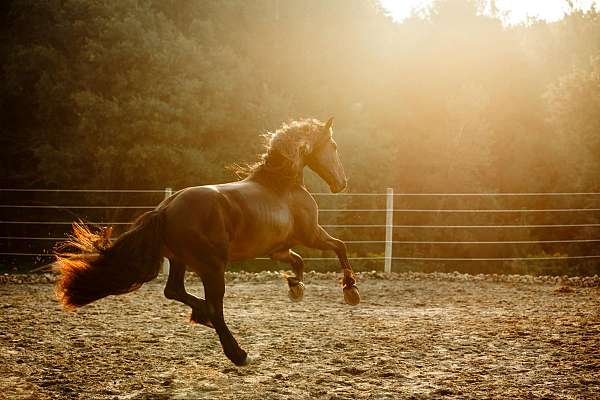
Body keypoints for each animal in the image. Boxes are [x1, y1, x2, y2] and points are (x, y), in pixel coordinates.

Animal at [54, 116, 358, 366]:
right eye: (333, 146)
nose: (342, 183)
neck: (281, 187)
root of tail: (166, 208)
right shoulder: (311, 233)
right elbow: (339, 246)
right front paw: (350, 290)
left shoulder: (278, 250)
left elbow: (299, 261)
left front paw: (296, 287)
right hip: (212, 267)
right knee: (214, 305)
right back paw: (237, 353)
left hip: (180, 260)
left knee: (174, 291)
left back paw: (202, 317)